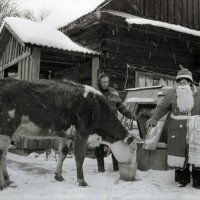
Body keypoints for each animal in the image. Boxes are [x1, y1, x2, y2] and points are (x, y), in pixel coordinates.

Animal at [0, 78, 131, 189]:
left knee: (4, 155)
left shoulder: (67, 135)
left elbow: (62, 154)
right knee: (1, 155)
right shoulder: (82, 134)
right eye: (133, 149)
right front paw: (81, 181)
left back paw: (8, 181)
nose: (130, 163)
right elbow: (79, 158)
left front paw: (58, 176)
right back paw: (3, 183)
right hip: (5, 129)